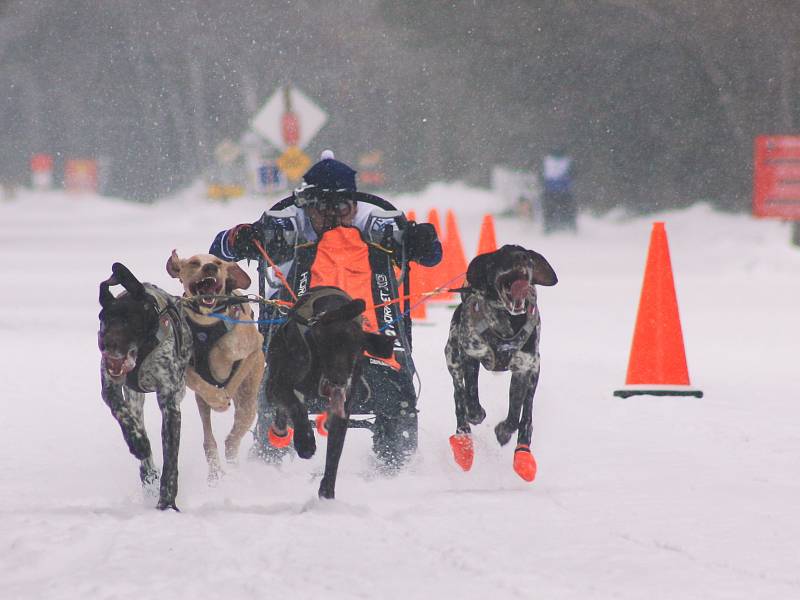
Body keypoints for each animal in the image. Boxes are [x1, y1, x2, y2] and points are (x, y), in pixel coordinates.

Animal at [98, 262, 192, 510]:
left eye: (128, 320)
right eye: (104, 318)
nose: (107, 346)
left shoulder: (169, 402)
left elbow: (170, 459)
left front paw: (167, 503)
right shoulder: (111, 388)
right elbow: (122, 414)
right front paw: (137, 442)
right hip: (135, 398)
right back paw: (147, 471)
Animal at [166, 251, 266, 480]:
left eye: (218, 262)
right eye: (194, 262)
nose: (210, 267)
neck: (207, 326)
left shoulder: (254, 348)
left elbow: (236, 376)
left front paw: (223, 398)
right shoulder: (185, 368)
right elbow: (199, 382)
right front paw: (217, 398)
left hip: (249, 403)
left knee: (232, 439)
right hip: (201, 405)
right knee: (209, 440)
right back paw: (215, 473)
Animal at [444, 244, 556, 482]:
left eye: (528, 258)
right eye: (502, 256)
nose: (520, 258)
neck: (507, 321)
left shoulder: (523, 368)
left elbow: (515, 413)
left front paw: (504, 432)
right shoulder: (469, 355)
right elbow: (470, 397)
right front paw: (476, 414)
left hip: (534, 373)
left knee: (527, 414)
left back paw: (523, 452)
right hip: (452, 358)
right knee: (459, 396)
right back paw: (463, 440)